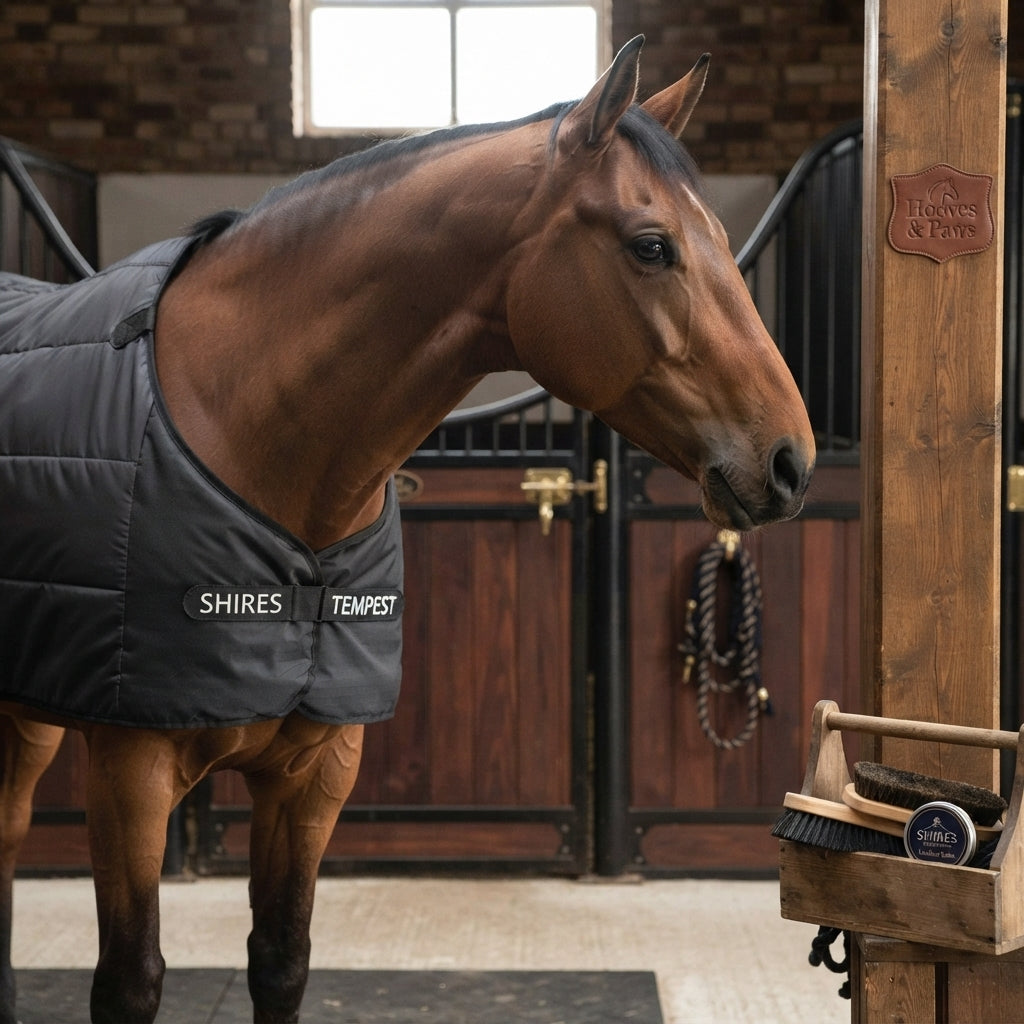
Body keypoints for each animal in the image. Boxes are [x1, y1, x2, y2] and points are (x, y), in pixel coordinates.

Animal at [0, 36, 814, 1023]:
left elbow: (281, 958)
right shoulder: (130, 770)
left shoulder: (317, 771)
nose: (791, 460)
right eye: (651, 245)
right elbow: (131, 979)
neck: (237, 425)